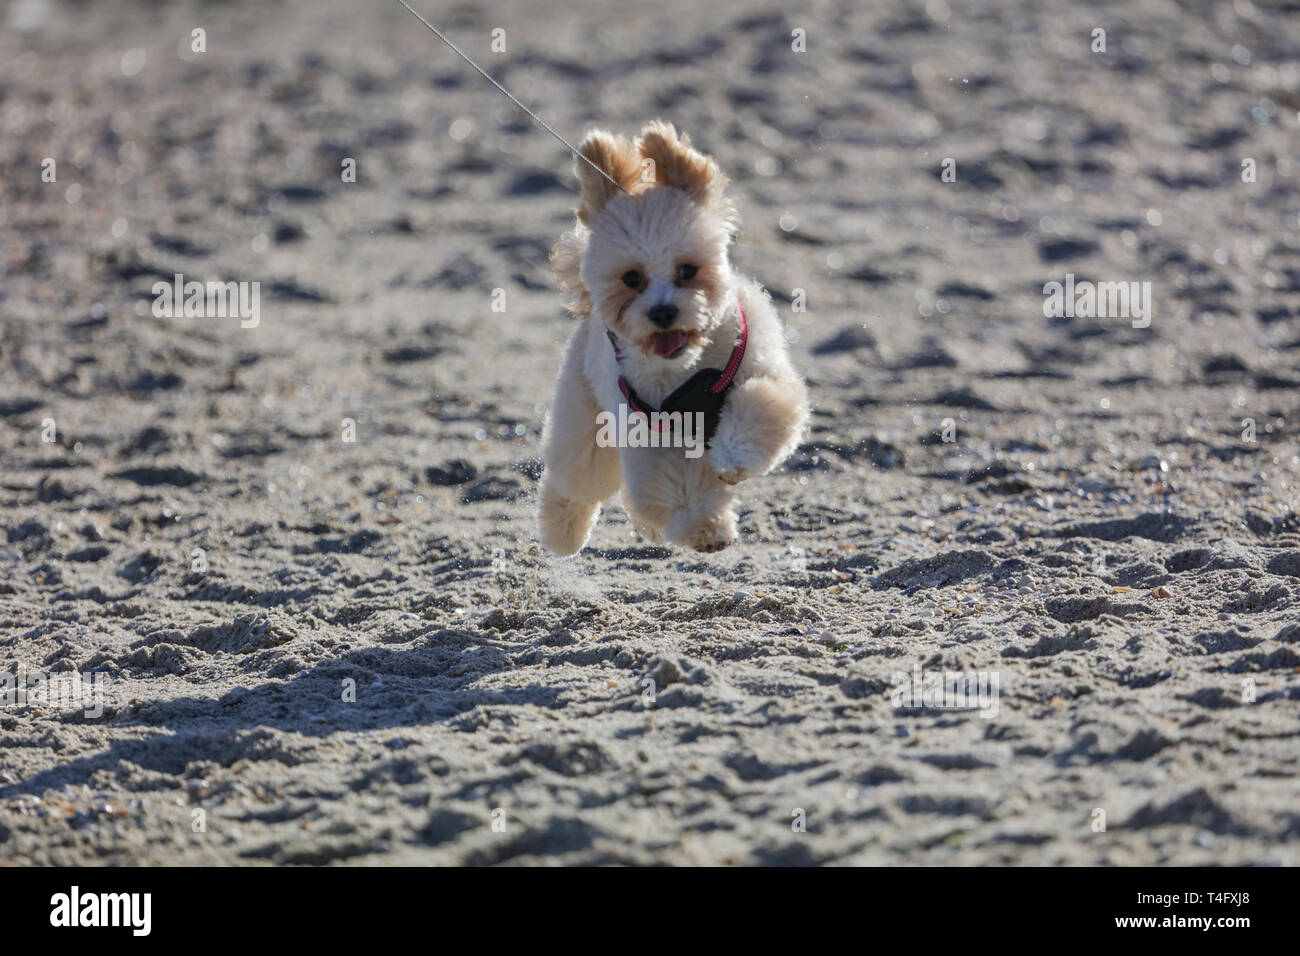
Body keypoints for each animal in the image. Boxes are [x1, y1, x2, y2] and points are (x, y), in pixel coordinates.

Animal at [535, 121, 800, 554]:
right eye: (632, 278)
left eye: (687, 270)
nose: (662, 313)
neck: (689, 369)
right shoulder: (653, 435)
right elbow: (677, 485)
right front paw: (703, 528)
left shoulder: (763, 372)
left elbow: (758, 407)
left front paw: (732, 458)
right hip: (584, 413)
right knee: (575, 477)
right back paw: (562, 530)